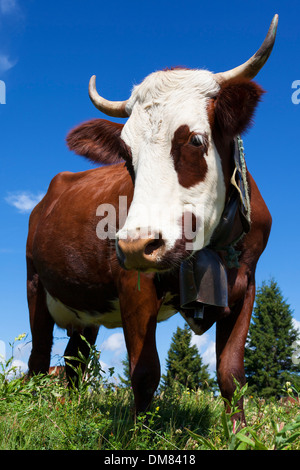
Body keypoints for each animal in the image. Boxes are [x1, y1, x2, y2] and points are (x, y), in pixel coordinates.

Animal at [27, 15, 278, 422]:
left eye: (194, 140)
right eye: (126, 154)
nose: (135, 244)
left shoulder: (246, 283)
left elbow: (232, 372)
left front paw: (239, 429)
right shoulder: (133, 283)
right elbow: (145, 372)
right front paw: (136, 430)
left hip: (85, 313)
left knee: (73, 361)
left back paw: (70, 408)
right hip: (36, 284)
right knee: (38, 357)